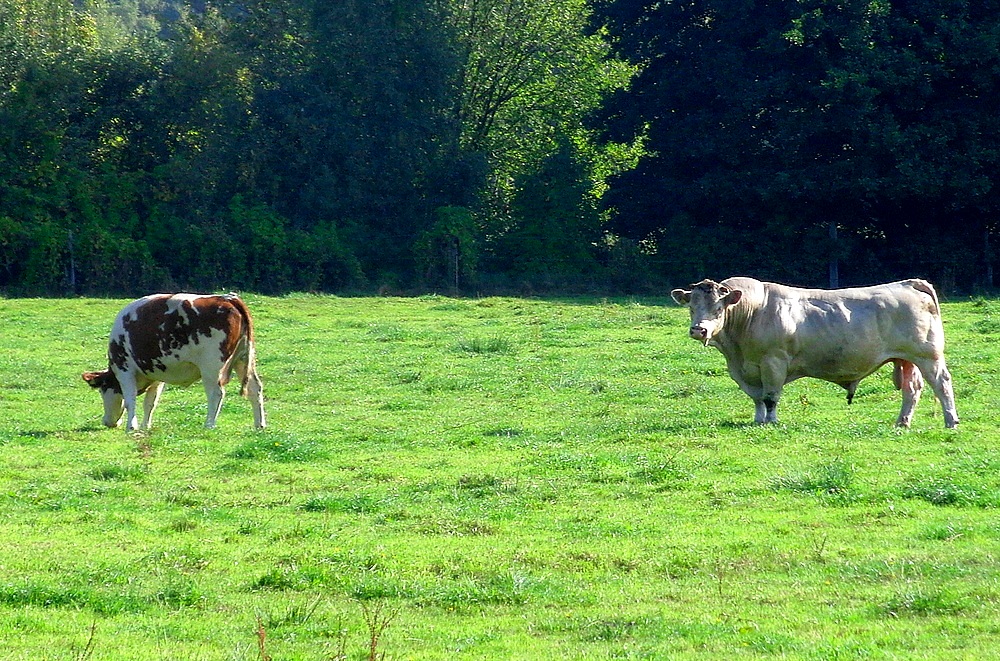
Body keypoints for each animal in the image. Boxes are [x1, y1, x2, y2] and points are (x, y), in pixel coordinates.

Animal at [83, 292, 266, 428]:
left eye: (102, 390)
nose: (107, 422)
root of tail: (228, 298)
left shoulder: (124, 369)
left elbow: (130, 400)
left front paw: (132, 427)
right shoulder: (157, 374)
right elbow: (150, 402)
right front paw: (145, 427)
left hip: (211, 367)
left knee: (216, 393)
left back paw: (209, 425)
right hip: (243, 359)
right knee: (254, 387)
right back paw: (259, 425)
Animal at [672, 274, 960, 426]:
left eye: (718, 308)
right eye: (691, 307)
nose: (699, 330)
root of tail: (909, 282)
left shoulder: (773, 362)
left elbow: (770, 396)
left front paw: (771, 422)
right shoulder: (746, 370)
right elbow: (757, 398)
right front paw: (758, 420)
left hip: (928, 355)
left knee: (942, 383)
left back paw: (951, 421)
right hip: (905, 358)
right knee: (912, 389)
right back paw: (902, 422)